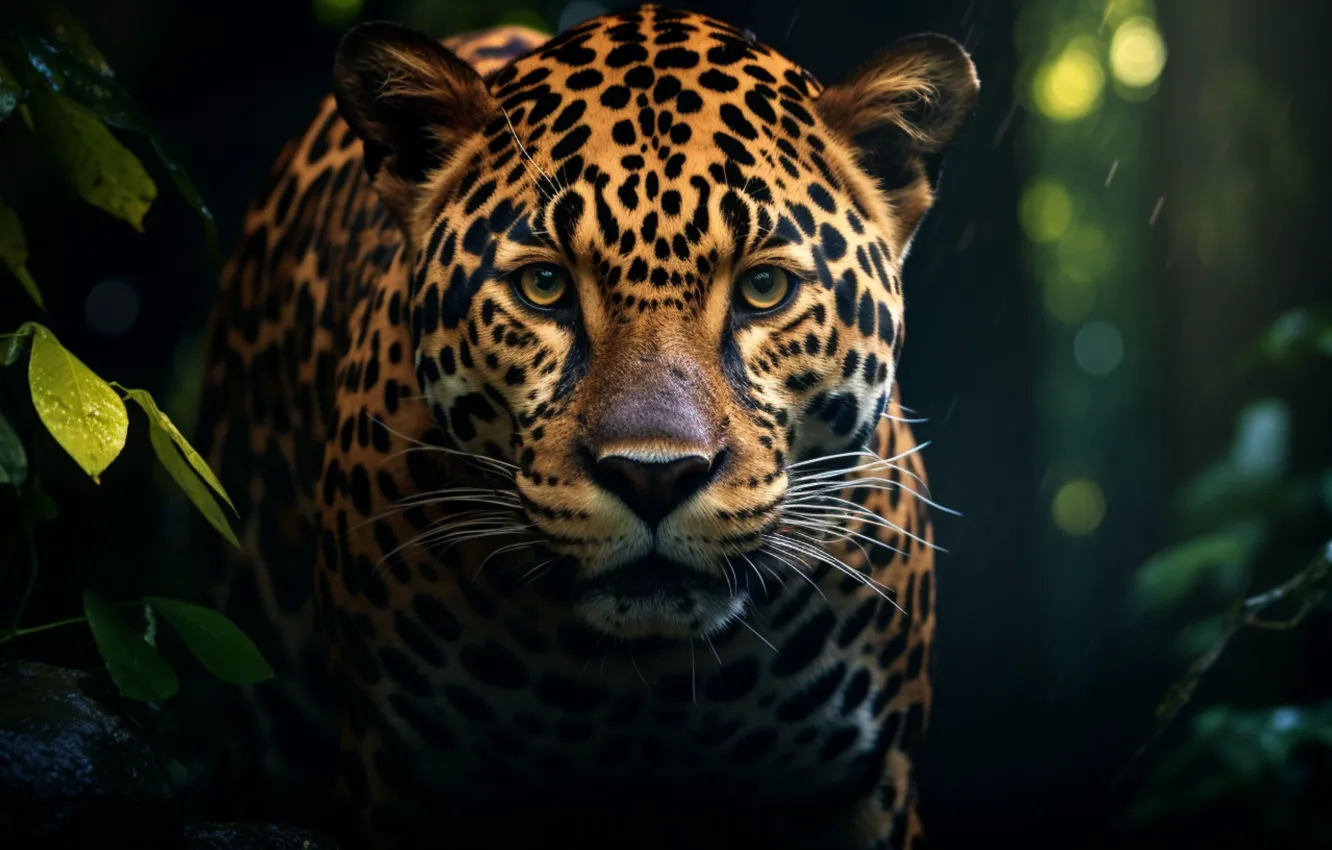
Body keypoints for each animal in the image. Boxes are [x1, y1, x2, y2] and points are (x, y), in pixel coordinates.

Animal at [189, 6, 978, 849]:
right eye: (544, 286)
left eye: (764, 287)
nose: (654, 476)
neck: (639, 687)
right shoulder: (399, 773)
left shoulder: (862, 785)